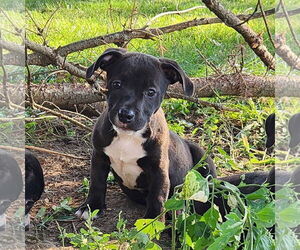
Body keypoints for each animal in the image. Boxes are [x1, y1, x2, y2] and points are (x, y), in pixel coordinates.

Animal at [75, 47, 216, 220]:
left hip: (204, 158)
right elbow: (97, 182)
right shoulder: (99, 156)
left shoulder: (159, 169)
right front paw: (91, 206)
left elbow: (157, 196)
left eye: (151, 92)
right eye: (116, 84)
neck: (128, 136)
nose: (125, 115)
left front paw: (153, 220)